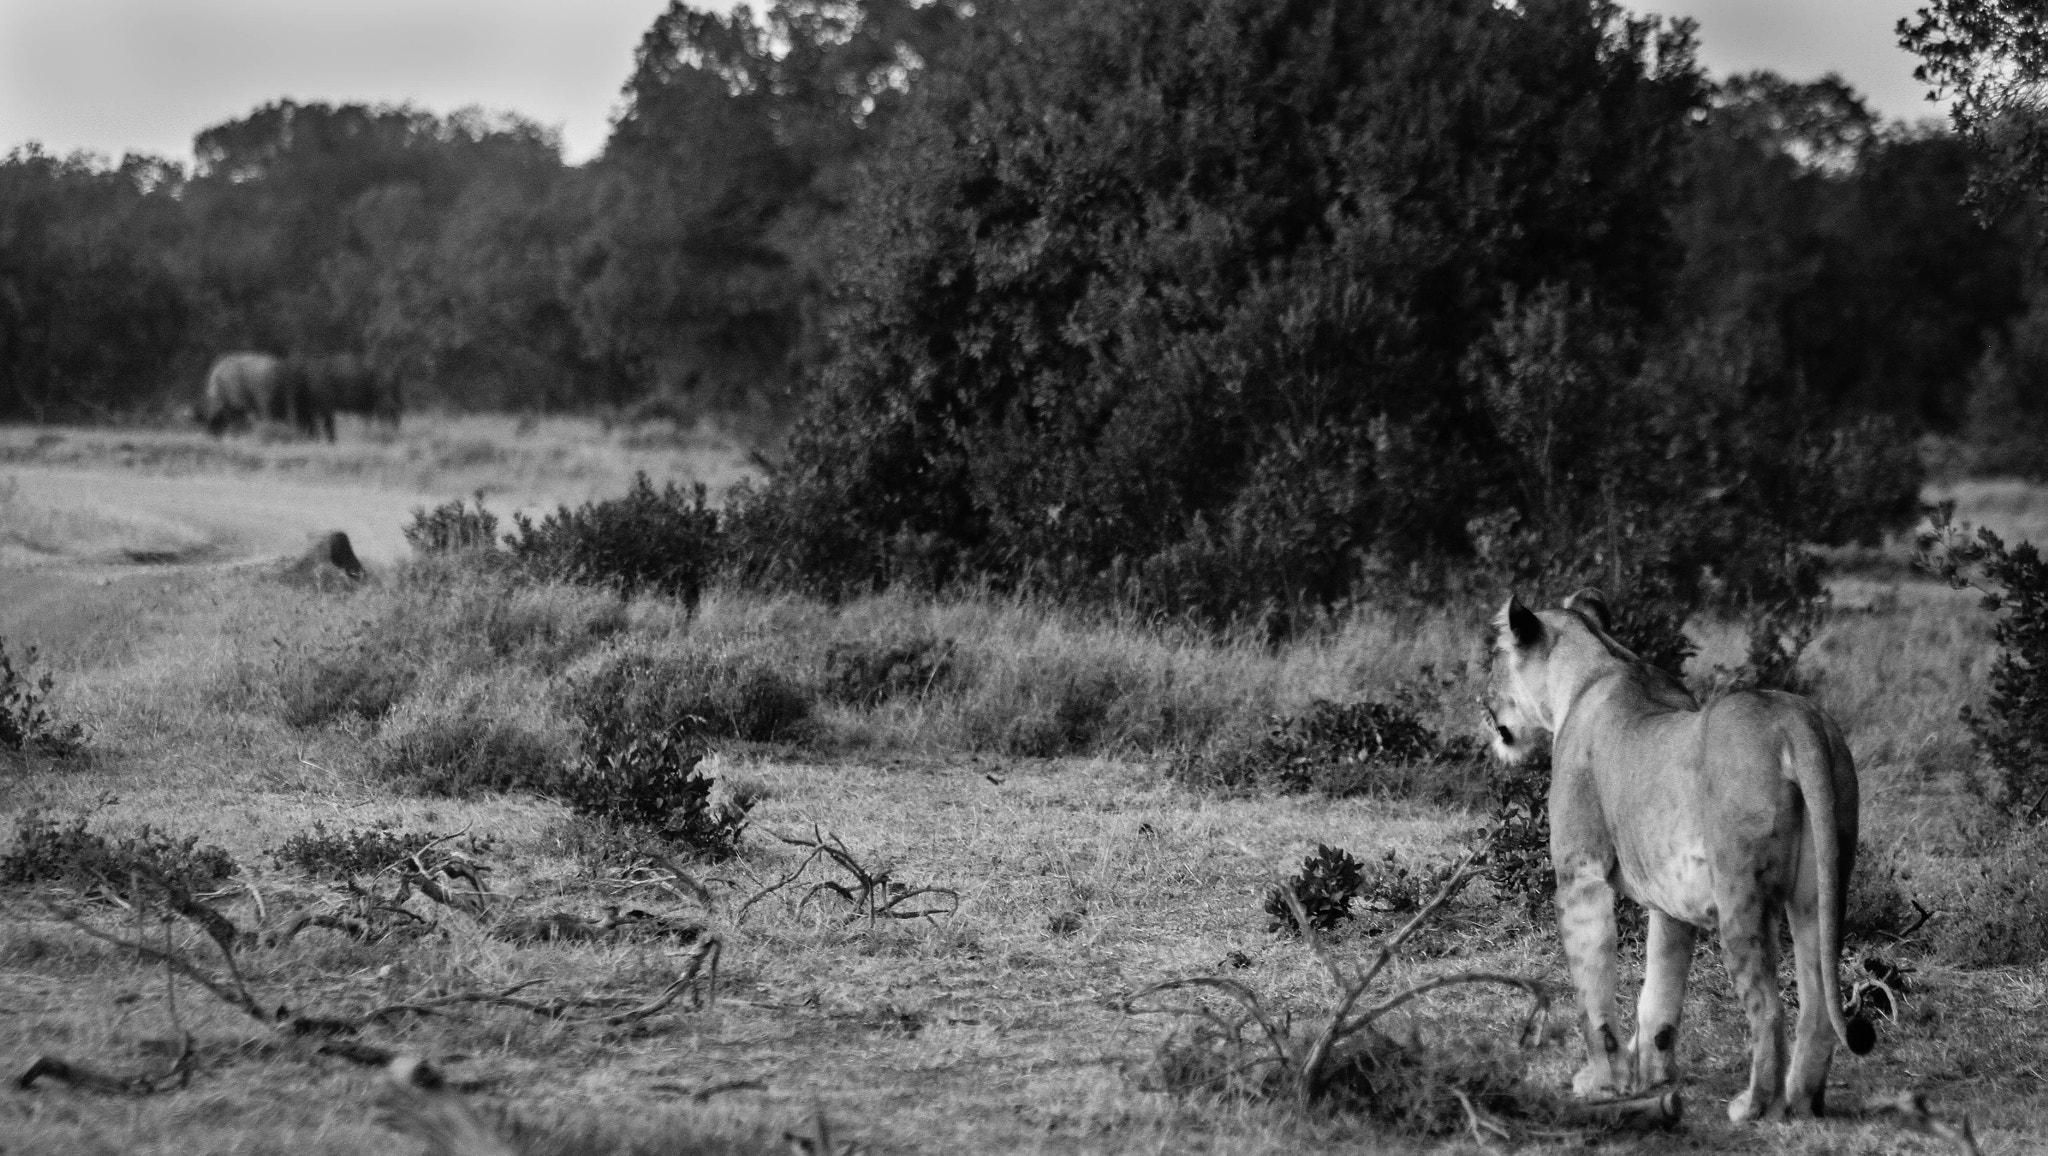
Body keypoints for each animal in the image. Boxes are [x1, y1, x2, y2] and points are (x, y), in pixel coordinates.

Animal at [1482, 588, 1872, 1122]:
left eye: (1494, 657)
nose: (1482, 704)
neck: (1592, 668)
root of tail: (1797, 720)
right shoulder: (1671, 901)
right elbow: (1659, 996)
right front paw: (1652, 1078)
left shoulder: (1580, 876)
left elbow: (1593, 992)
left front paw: (1602, 1082)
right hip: (1819, 891)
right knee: (1815, 1004)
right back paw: (1802, 1103)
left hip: (1740, 892)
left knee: (1769, 1007)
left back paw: (1753, 1107)